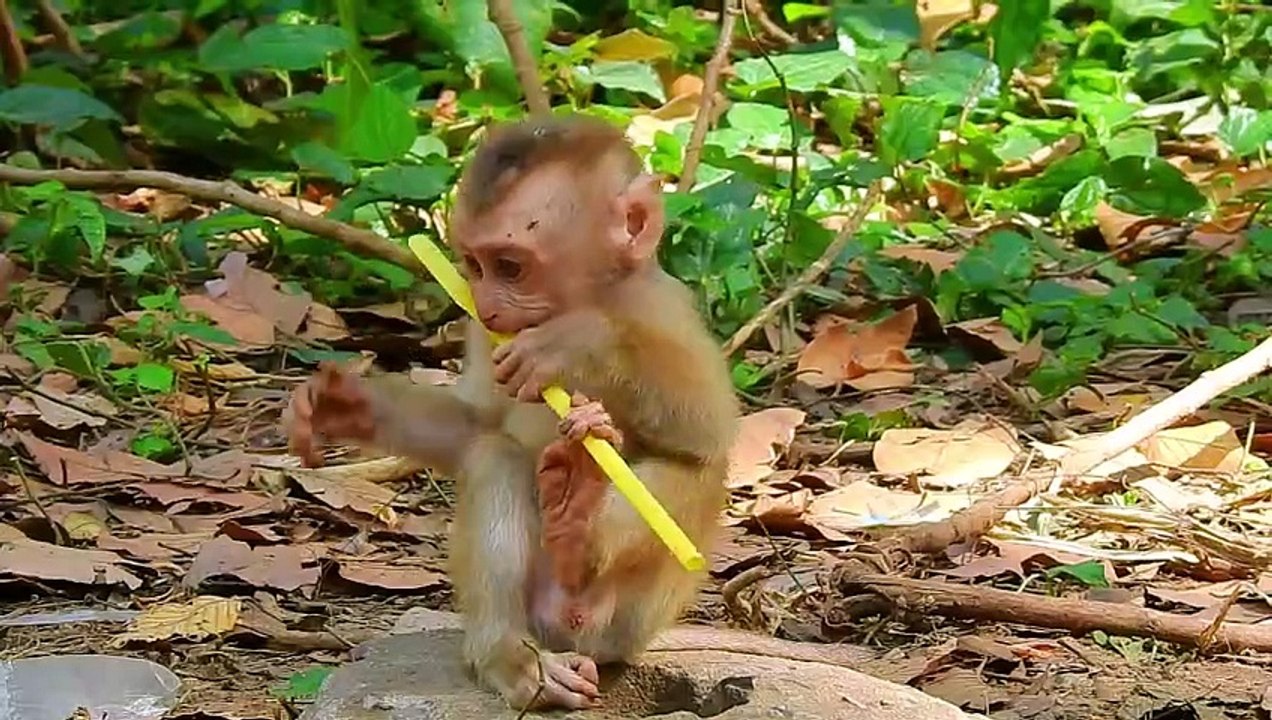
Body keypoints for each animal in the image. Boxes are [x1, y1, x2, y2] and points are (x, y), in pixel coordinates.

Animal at [285, 114, 739, 711]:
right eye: (473, 265)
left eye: (510, 266)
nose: (488, 304)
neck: (589, 297)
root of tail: (572, 628)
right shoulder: (482, 332)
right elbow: (475, 425)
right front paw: (349, 407)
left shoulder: (664, 307)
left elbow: (710, 429)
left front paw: (574, 344)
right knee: (495, 455)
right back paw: (513, 653)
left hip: (632, 621)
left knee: (695, 472)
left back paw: (582, 525)